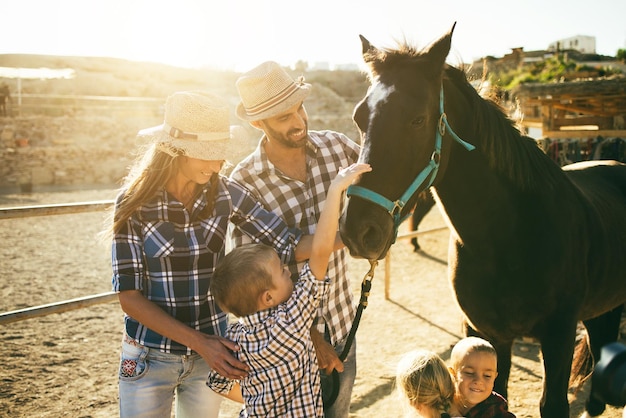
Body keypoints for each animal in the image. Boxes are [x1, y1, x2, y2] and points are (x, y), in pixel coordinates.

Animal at [338, 24, 624, 416]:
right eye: (358, 118)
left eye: (417, 119)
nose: (357, 230)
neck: (509, 238)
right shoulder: (483, 331)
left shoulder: (559, 335)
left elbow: (551, 403)